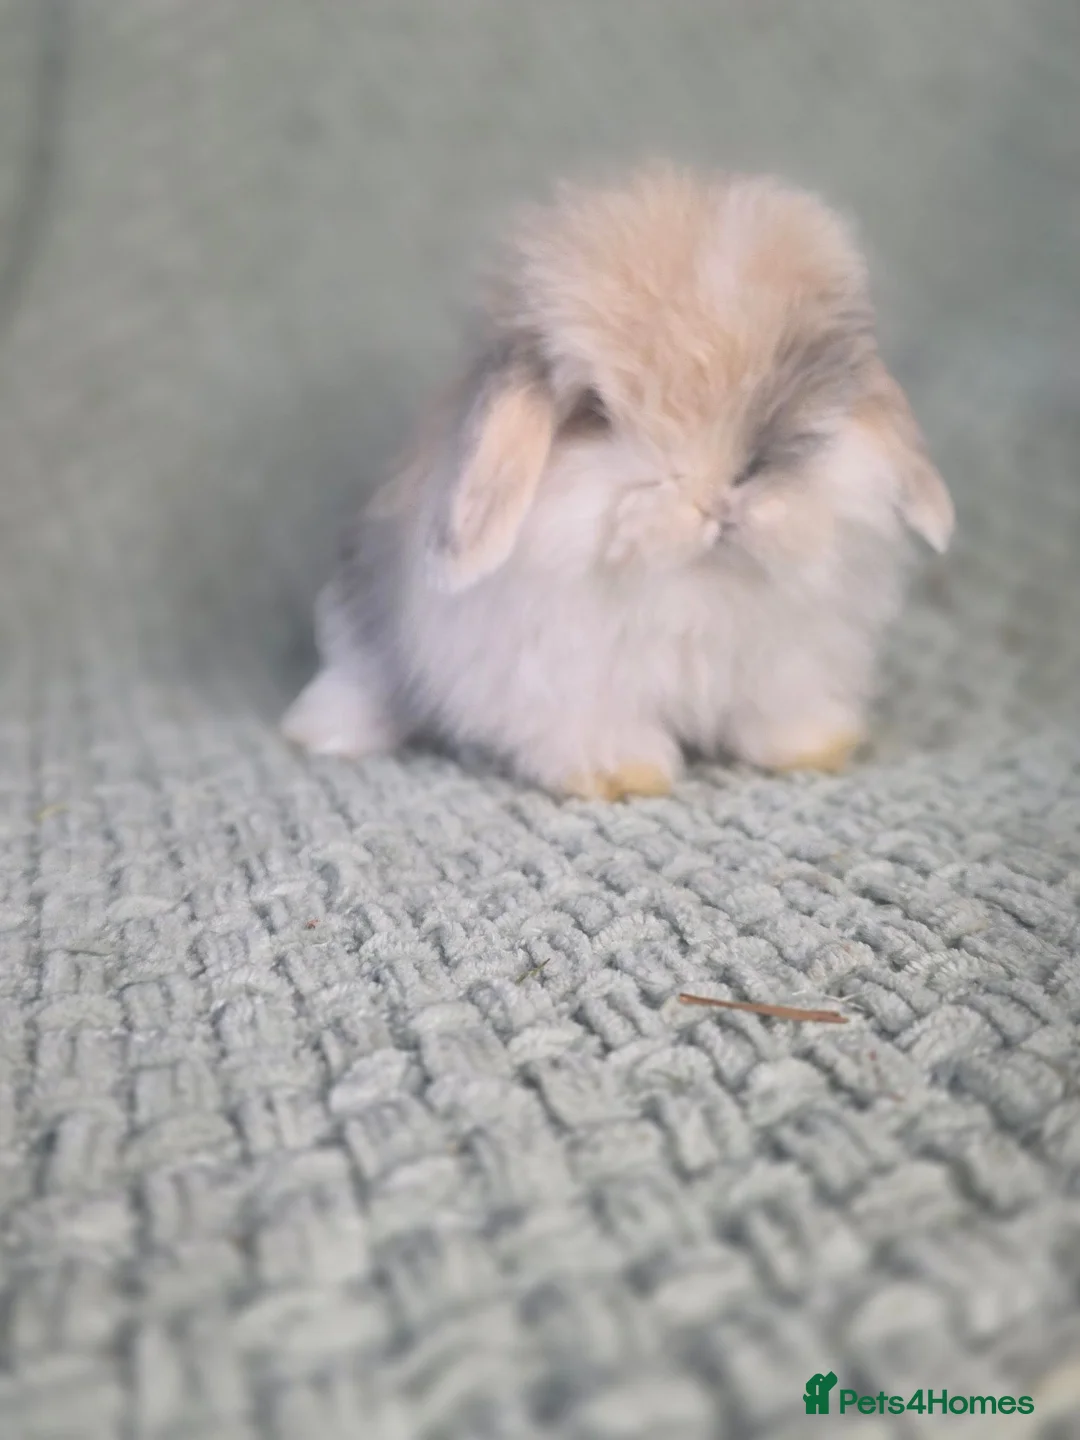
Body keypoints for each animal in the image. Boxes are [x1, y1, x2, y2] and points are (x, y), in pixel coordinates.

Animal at [283, 163, 954, 799]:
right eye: (595, 412)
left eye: (805, 386)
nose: (723, 494)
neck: (695, 588)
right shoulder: (566, 682)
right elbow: (596, 730)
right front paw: (623, 776)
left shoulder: (790, 665)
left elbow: (779, 712)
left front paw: (816, 748)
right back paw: (321, 735)